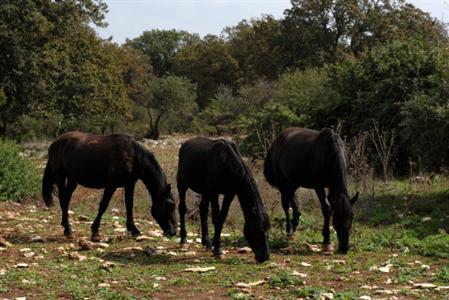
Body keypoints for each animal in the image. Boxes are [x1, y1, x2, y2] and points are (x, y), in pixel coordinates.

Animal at [41, 131, 176, 241]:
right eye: (170, 205)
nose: (173, 232)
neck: (132, 155)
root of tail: (55, 142)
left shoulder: (129, 184)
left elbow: (129, 205)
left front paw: (133, 230)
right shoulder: (111, 185)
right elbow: (103, 205)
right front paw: (95, 231)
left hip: (72, 180)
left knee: (67, 199)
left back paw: (66, 226)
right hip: (60, 176)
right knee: (63, 200)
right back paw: (68, 229)